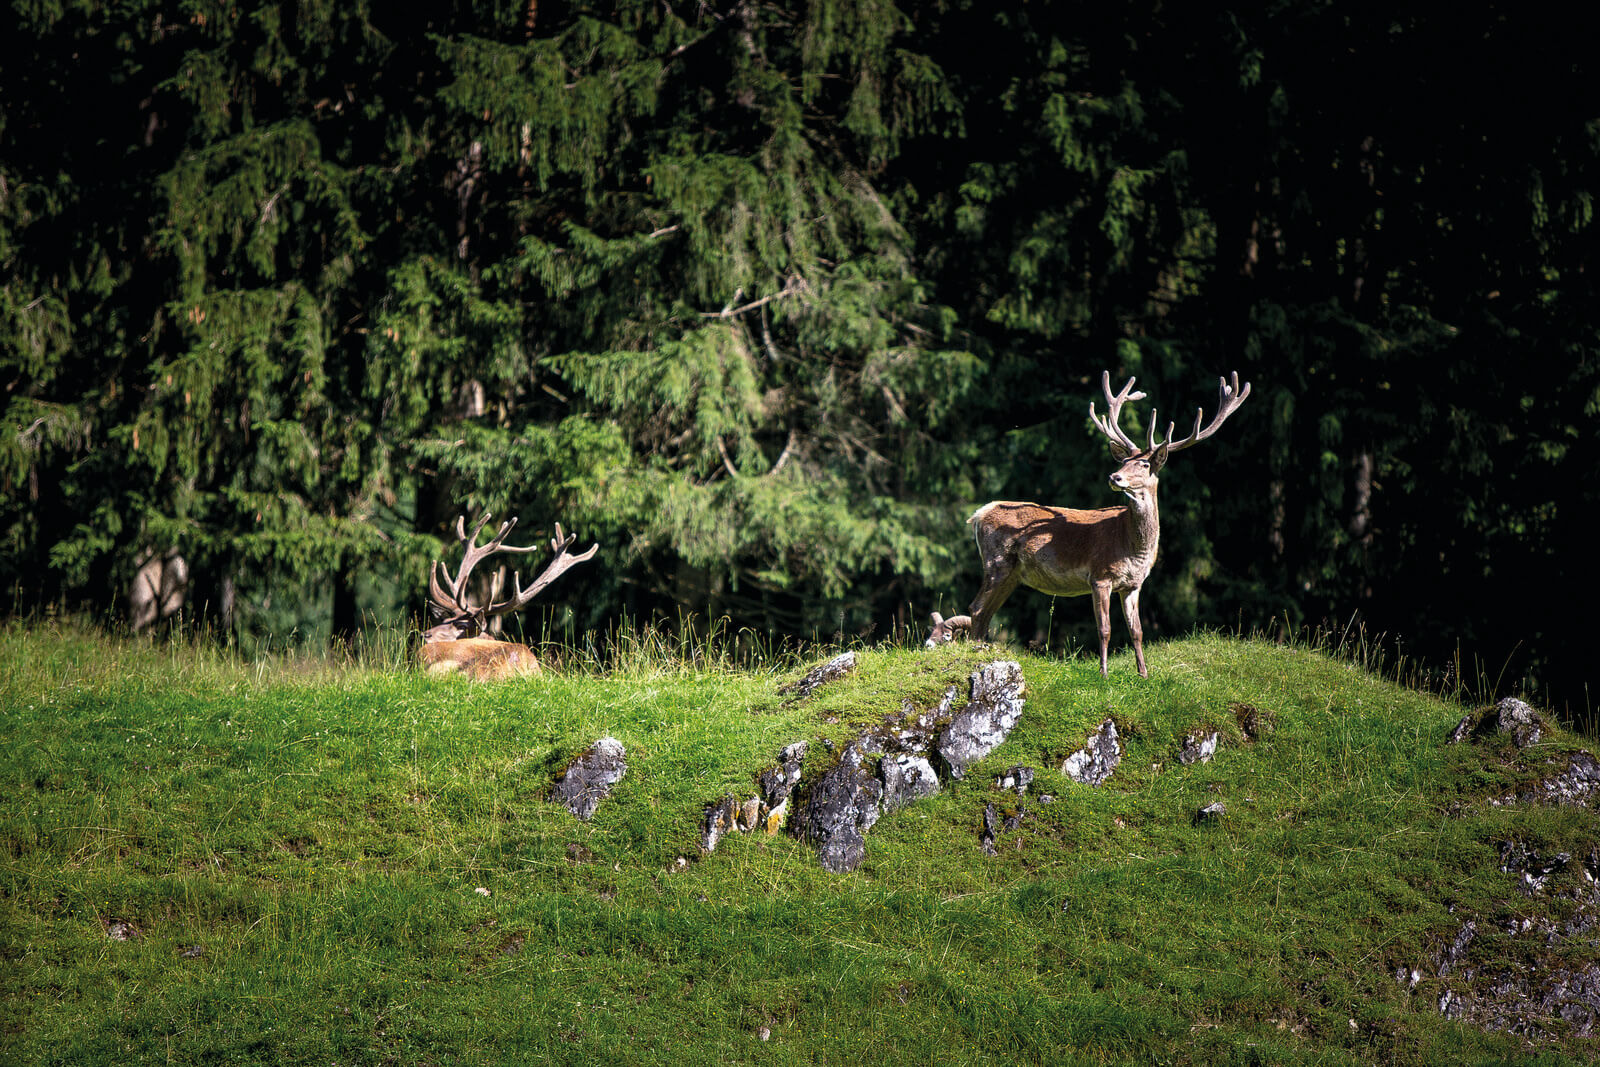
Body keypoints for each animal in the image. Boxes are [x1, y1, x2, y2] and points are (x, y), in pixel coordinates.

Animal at [928, 371, 1248, 681]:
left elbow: (1137, 631)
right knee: (977, 608)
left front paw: (1144, 675)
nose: (1114, 477)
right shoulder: (1100, 575)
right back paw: (976, 654)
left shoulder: (1133, 584)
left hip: (1013, 573)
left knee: (986, 611)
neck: (1133, 547)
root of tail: (980, 513)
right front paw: (1104, 674)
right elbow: (1105, 629)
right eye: (1124, 460)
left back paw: (980, 651)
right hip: (997, 560)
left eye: (1144, 465)